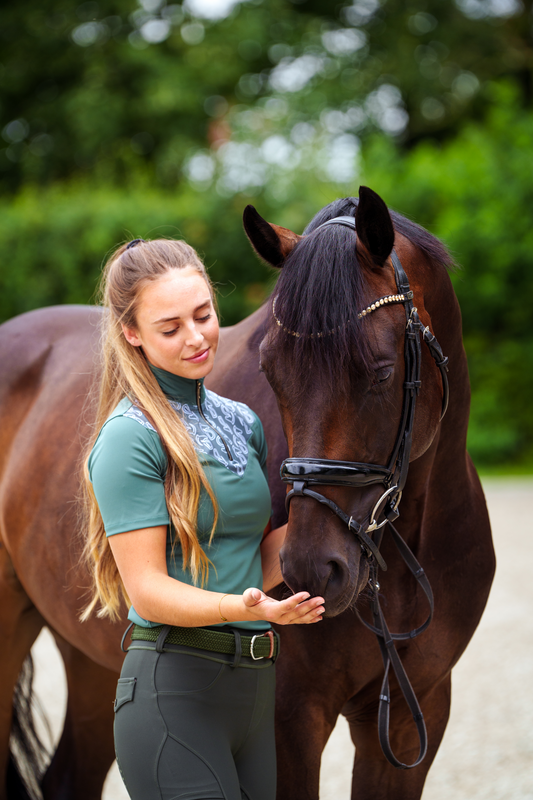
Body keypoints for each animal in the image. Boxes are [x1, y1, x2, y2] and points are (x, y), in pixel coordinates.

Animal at [0, 184, 494, 796]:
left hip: (89, 656)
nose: (311, 569)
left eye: (381, 372)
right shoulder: (289, 719)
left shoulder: (413, 713)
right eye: (272, 370)